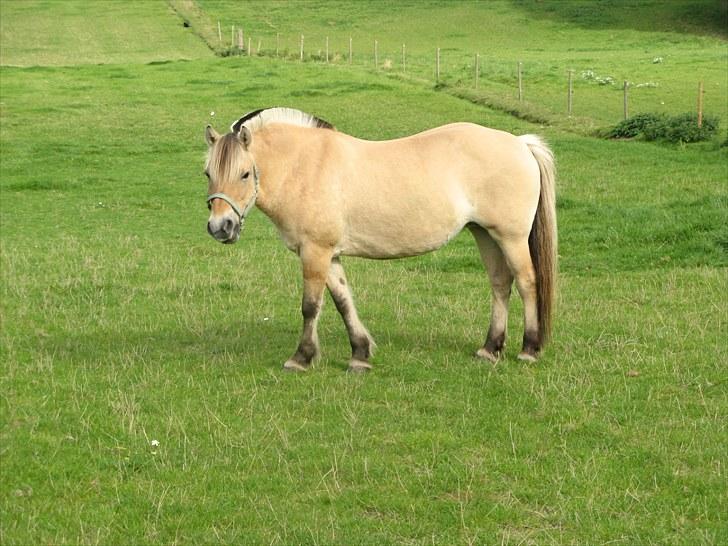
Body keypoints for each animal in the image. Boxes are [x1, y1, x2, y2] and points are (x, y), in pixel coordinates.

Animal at [205, 106, 556, 370]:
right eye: (208, 173)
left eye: (244, 174)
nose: (220, 227)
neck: (306, 166)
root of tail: (520, 143)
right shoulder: (328, 254)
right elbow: (343, 301)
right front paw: (360, 354)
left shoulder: (315, 252)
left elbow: (311, 306)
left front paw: (301, 358)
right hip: (485, 234)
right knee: (499, 284)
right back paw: (490, 348)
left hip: (510, 238)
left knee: (527, 282)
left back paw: (528, 349)